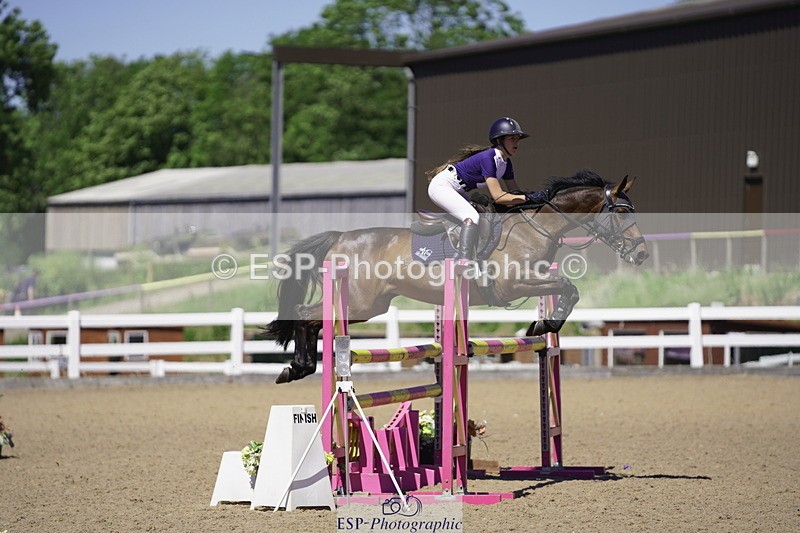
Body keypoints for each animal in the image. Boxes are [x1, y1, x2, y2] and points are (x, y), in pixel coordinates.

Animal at [265, 169, 649, 383]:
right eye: (623, 213)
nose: (642, 253)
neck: (537, 228)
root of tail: (339, 237)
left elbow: (568, 291)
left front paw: (541, 324)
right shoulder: (511, 285)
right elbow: (569, 288)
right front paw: (544, 325)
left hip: (370, 305)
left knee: (312, 320)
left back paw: (299, 368)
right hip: (360, 303)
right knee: (304, 314)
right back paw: (296, 367)